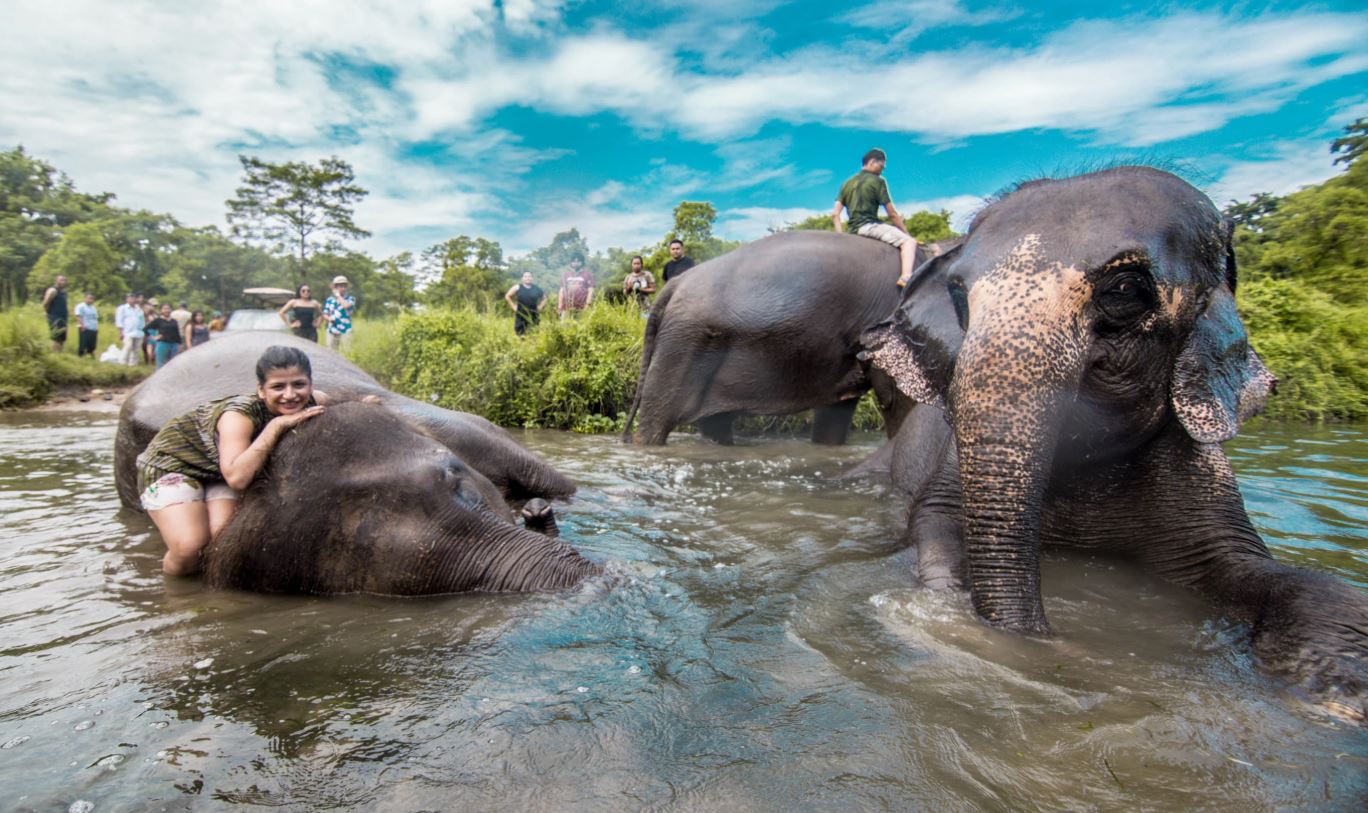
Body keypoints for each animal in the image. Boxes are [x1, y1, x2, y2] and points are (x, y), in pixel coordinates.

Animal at [623, 229, 952, 443]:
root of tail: (673, 285)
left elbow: (836, 412)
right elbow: (898, 402)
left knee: (713, 423)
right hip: (681, 346)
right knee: (658, 420)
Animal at [859, 162, 1362, 717]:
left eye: (1124, 289)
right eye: (958, 294)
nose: (1051, 643)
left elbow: (1249, 565)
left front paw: (1337, 687)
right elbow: (936, 521)